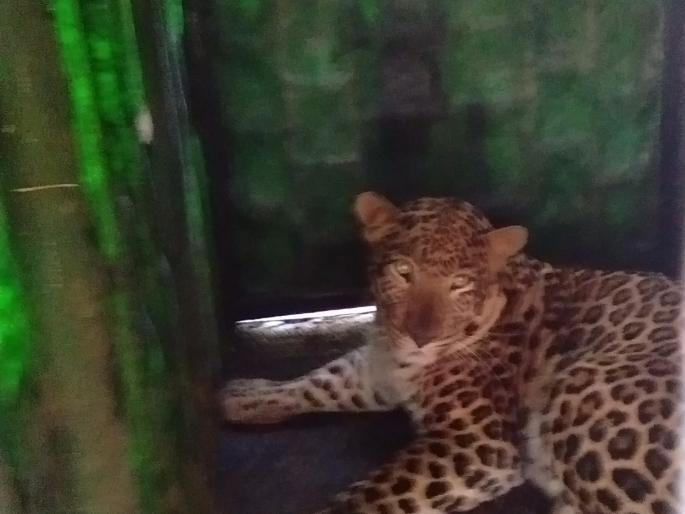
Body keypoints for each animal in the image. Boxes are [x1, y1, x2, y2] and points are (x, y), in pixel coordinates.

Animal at [222, 191, 682, 514]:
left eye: (459, 284)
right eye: (403, 271)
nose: (420, 338)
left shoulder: (477, 442)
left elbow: (371, 496)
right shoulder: (382, 368)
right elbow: (328, 379)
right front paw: (248, 395)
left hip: (584, 395)